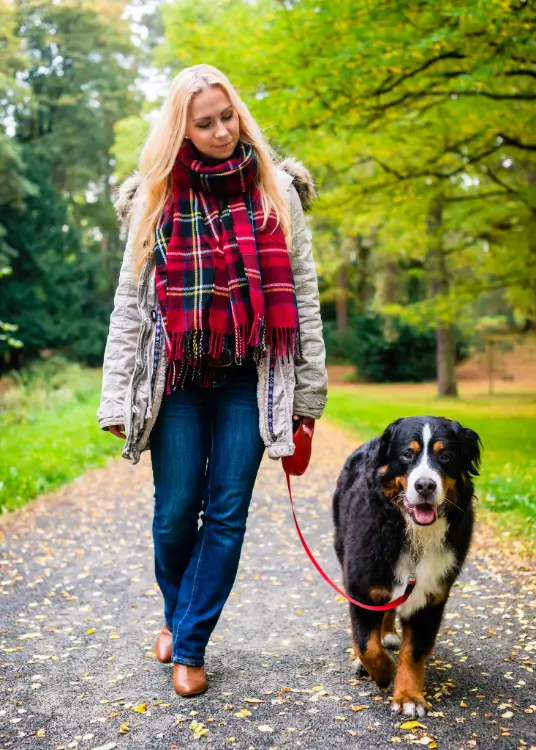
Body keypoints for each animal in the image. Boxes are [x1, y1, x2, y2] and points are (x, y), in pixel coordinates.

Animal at [336, 418, 482, 716]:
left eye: (445, 455)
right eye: (407, 454)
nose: (425, 485)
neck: (413, 535)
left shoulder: (431, 597)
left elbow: (412, 653)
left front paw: (408, 697)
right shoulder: (361, 586)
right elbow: (367, 645)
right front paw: (382, 672)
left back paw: (389, 633)